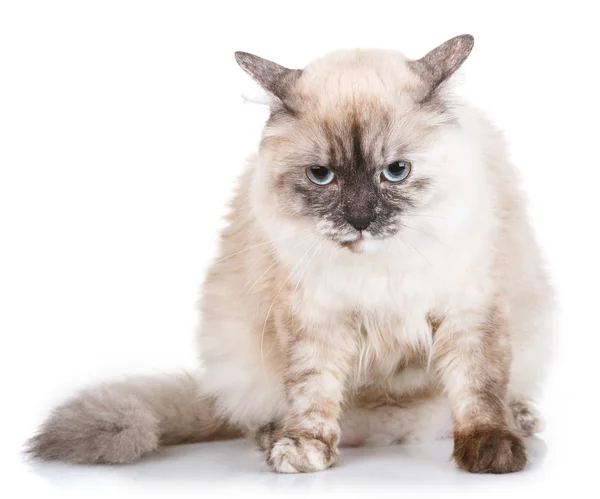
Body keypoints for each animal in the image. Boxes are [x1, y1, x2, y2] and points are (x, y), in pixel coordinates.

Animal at [27, 36, 552, 476]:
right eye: (321, 176)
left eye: (396, 171)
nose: (360, 219)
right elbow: (312, 393)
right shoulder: (315, 321)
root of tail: (391, 430)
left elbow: (478, 387)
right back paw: (273, 437)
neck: (379, 266)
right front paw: (303, 449)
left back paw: (519, 418)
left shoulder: (469, 312)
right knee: (260, 415)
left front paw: (492, 451)